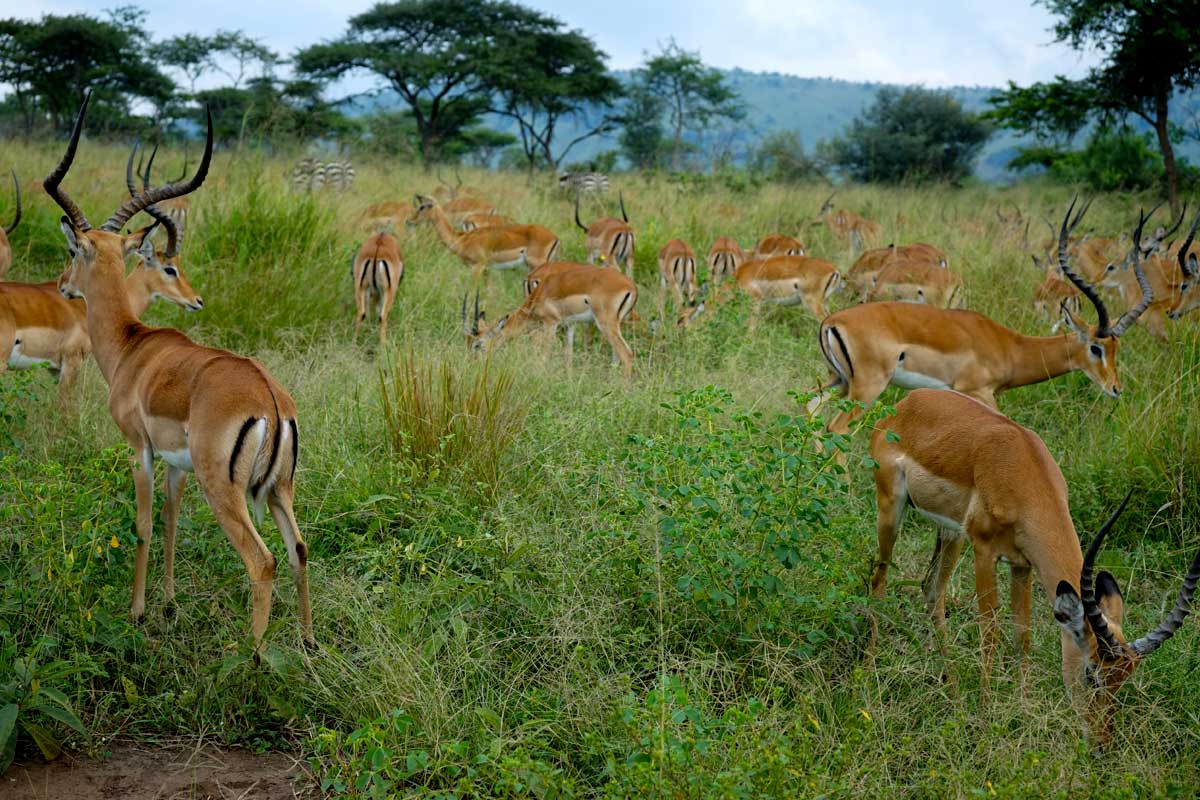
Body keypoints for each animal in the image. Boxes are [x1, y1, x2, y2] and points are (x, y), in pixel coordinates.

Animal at [51, 95, 314, 657]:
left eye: (73, 250)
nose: (62, 284)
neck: (132, 347)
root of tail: (271, 401)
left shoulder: (139, 449)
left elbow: (144, 525)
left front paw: (137, 612)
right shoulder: (178, 466)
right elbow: (172, 523)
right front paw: (169, 605)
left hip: (227, 491)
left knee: (263, 561)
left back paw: (252, 660)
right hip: (280, 489)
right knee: (299, 549)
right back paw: (306, 645)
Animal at [410, 194, 559, 280]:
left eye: (422, 206)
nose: (411, 221)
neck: (461, 239)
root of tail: (555, 237)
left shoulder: (477, 267)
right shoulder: (486, 270)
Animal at [465, 260, 638, 379]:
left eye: (477, 344)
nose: (472, 365)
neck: (541, 292)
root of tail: (631, 287)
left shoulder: (550, 323)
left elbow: (544, 354)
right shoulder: (569, 324)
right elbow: (568, 355)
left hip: (605, 324)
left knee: (627, 354)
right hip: (614, 325)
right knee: (617, 356)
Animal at [811, 200, 1147, 438]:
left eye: (1117, 349)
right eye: (1096, 347)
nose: (1116, 388)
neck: (1009, 346)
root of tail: (831, 322)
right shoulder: (978, 393)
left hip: (839, 380)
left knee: (812, 409)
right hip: (866, 388)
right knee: (836, 428)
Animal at [873, 388, 1200, 753]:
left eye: (1125, 680)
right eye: (1092, 674)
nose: (1101, 744)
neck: (1021, 469)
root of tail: (907, 403)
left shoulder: (1021, 564)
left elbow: (1022, 636)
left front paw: (1023, 709)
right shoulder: (984, 551)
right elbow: (990, 633)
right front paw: (985, 717)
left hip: (950, 532)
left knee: (931, 590)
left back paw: (949, 684)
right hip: (892, 509)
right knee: (879, 582)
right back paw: (870, 676)